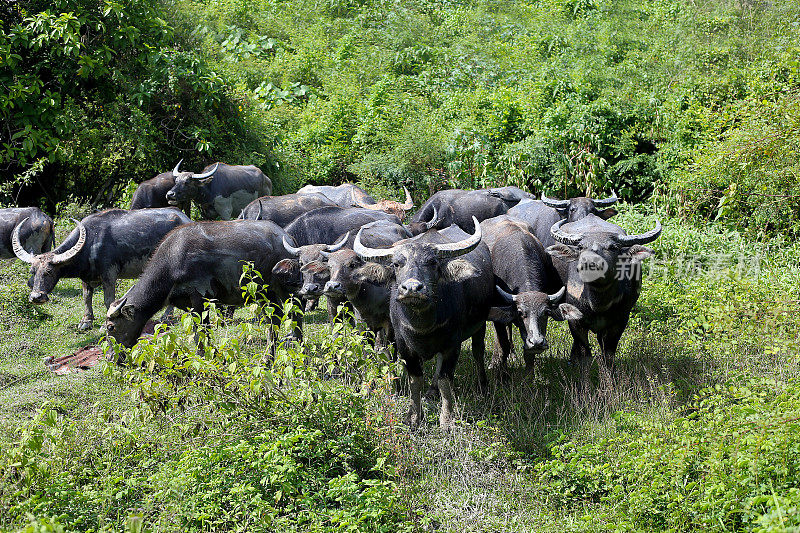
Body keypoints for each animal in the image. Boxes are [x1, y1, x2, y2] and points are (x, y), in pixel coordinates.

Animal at [12, 207, 191, 328]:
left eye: (49, 272)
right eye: (33, 272)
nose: (36, 297)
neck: (90, 243)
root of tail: (186, 220)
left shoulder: (109, 275)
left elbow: (108, 300)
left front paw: (106, 323)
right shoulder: (85, 278)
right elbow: (86, 298)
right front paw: (86, 321)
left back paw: (166, 317)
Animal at [354, 218, 494, 430]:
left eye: (432, 262)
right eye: (396, 264)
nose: (412, 288)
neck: (423, 327)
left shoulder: (453, 345)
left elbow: (446, 381)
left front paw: (446, 420)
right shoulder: (404, 346)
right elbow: (415, 380)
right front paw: (413, 418)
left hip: (480, 325)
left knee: (478, 352)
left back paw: (483, 385)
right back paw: (431, 391)